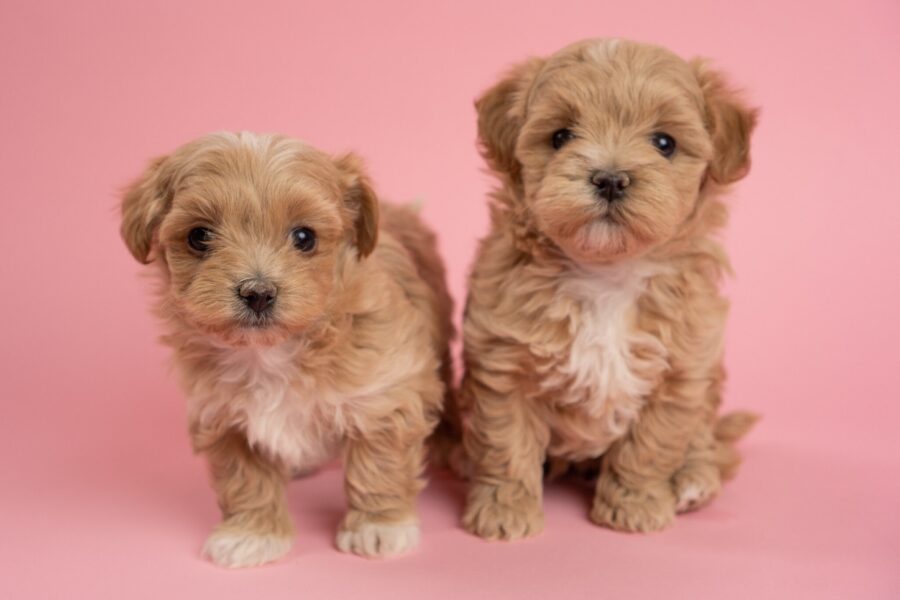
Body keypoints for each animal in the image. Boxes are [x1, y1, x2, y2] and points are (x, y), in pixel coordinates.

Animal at [119, 131, 454, 568]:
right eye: (199, 236)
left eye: (304, 237)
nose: (258, 293)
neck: (272, 351)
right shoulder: (224, 417)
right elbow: (245, 478)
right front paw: (252, 533)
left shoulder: (386, 391)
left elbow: (380, 463)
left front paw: (379, 526)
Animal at [458, 38, 760, 540]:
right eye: (560, 136)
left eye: (664, 142)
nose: (610, 178)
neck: (607, 273)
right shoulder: (503, 362)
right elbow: (506, 441)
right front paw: (504, 510)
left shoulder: (682, 370)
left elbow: (651, 444)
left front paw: (634, 505)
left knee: (705, 439)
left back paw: (693, 479)